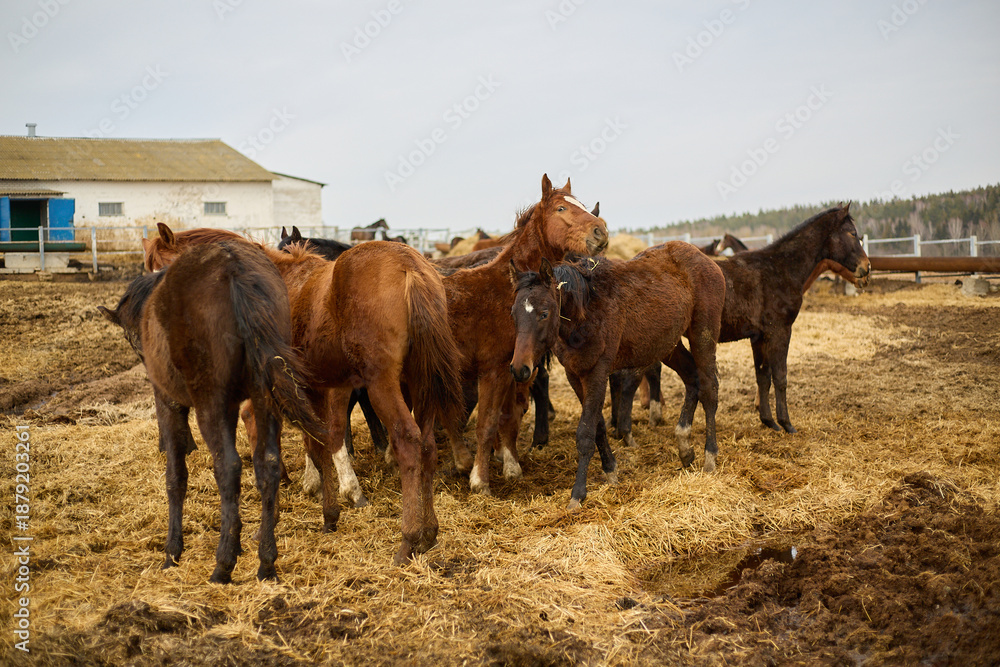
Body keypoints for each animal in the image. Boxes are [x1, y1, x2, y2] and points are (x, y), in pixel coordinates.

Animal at [99, 240, 326, 583]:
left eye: (130, 336)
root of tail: (233, 268)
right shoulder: (233, 406)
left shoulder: (169, 403)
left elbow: (176, 475)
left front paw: (172, 551)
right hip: (263, 396)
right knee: (268, 464)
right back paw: (266, 563)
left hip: (209, 404)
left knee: (228, 467)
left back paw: (223, 565)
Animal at [144, 229, 466, 564]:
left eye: (161, 272)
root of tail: (409, 265)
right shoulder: (318, 387)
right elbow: (322, 442)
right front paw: (330, 514)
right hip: (421, 381)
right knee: (427, 445)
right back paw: (429, 533)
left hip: (383, 385)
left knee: (408, 442)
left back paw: (409, 539)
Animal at [510, 241, 727, 509]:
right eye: (513, 314)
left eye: (543, 313)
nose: (520, 368)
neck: (586, 310)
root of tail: (705, 259)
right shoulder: (575, 375)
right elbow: (598, 426)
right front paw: (610, 470)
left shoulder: (597, 372)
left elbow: (585, 433)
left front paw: (578, 494)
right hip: (668, 344)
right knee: (692, 379)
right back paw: (684, 446)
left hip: (703, 335)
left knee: (709, 389)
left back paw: (710, 456)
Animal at [617, 204, 871, 436]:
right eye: (852, 233)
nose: (866, 268)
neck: (779, 270)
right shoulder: (780, 331)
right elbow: (780, 377)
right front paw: (787, 424)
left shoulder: (759, 337)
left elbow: (763, 377)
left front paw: (769, 421)